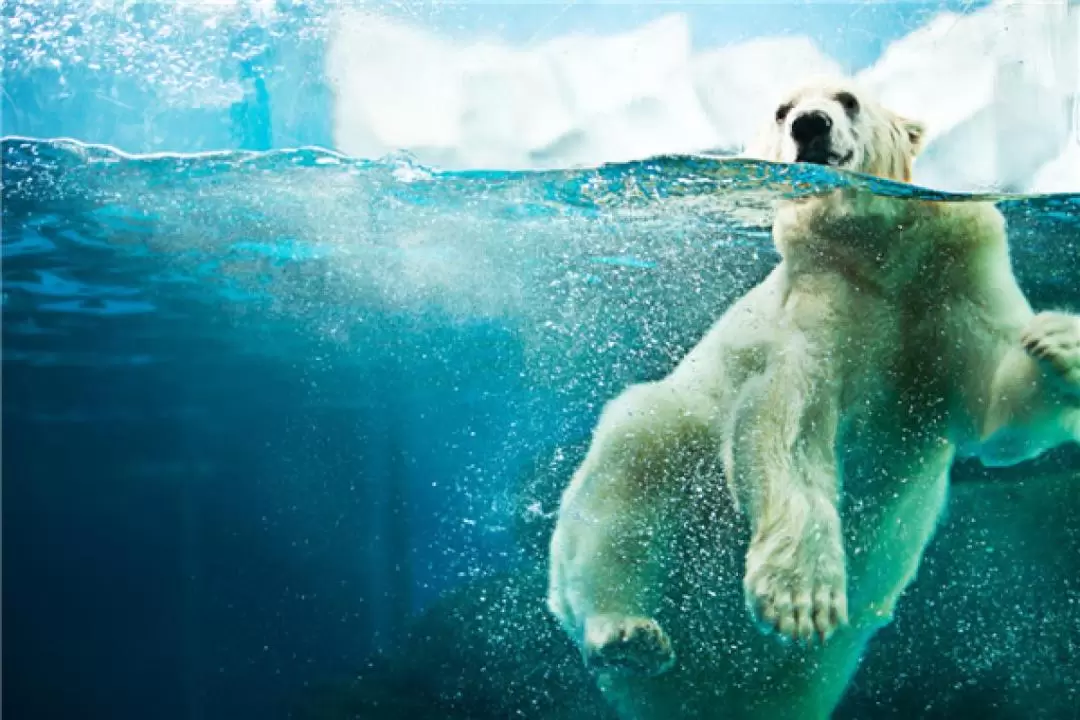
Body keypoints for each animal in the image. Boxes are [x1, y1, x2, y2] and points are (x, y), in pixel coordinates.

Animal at [548, 78, 1080, 720]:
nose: (809, 124)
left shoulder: (950, 274)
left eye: (848, 99)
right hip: (670, 435)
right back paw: (627, 634)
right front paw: (799, 597)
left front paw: (1058, 342)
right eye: (781, 110)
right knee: (621, 489)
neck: (879, 256)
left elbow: (994, 407)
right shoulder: (819, 296)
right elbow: (789, 423)